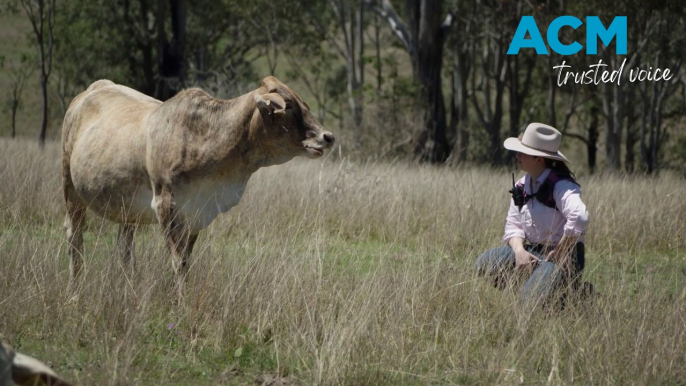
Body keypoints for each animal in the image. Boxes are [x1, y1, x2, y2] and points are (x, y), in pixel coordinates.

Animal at [61, 77, 336, 298]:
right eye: (287, 106)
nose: (328, 137)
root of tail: (96, 87)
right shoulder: (166, 206)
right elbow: (179, 263)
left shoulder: (198, 212)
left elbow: (186, 260)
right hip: (70, 191)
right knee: (75, 239)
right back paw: (74, 291)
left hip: (127, 209)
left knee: (125, 249)